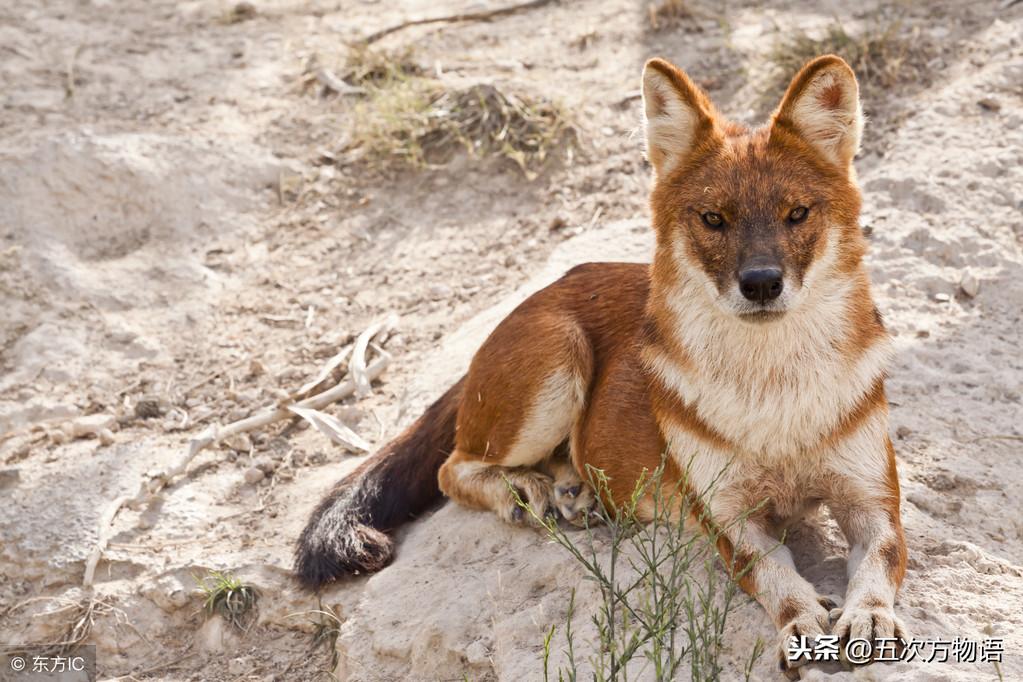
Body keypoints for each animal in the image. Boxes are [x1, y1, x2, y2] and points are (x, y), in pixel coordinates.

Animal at [296, 54, 904, 678]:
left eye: (797, 213)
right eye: (713, 218)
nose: (760, 283)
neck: (775, 387)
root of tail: (551, 286)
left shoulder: (872, 498)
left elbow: (881, 559)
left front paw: (869, 616)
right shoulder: (730, 517)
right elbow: (773, 574)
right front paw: (802, 621)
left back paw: (578, 493)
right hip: (558, 353)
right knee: (453, 465)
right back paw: (526, 491)